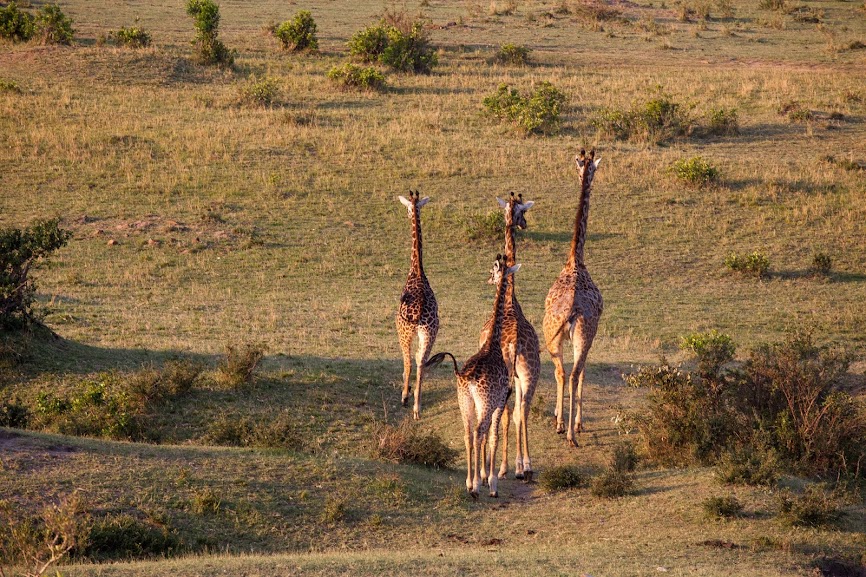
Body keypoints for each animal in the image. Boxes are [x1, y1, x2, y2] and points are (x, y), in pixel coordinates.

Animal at [424, 254, 516, 498]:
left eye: (493, 272)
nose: (488, 279)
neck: (492, 344)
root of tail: (466, 376)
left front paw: (483, 479)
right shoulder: (500, 400)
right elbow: (493, 436)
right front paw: (492, 484)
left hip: (464, 401)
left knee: (468, 434)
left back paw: (468, 483)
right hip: (484, 403)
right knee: (478, 431)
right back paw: (475, 486)